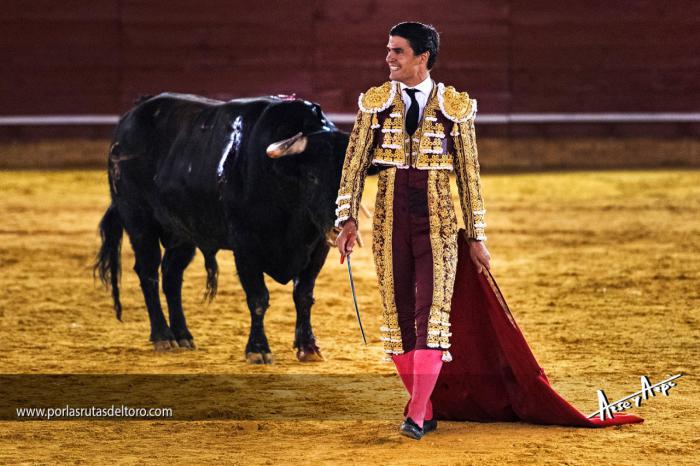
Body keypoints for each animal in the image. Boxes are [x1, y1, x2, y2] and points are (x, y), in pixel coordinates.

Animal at [94, 93, 350, 362]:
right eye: (312, 176)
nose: (338, 228)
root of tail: (131, 115)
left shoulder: (316, 247)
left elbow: (303, 295)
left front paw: (308, 347)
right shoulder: (245, 246)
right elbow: (258, 297)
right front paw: (258, 349)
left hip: (183, 232)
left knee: (172, 275)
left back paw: (182, 335)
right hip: (138, 221)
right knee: (148, 273)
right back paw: (163, 336)